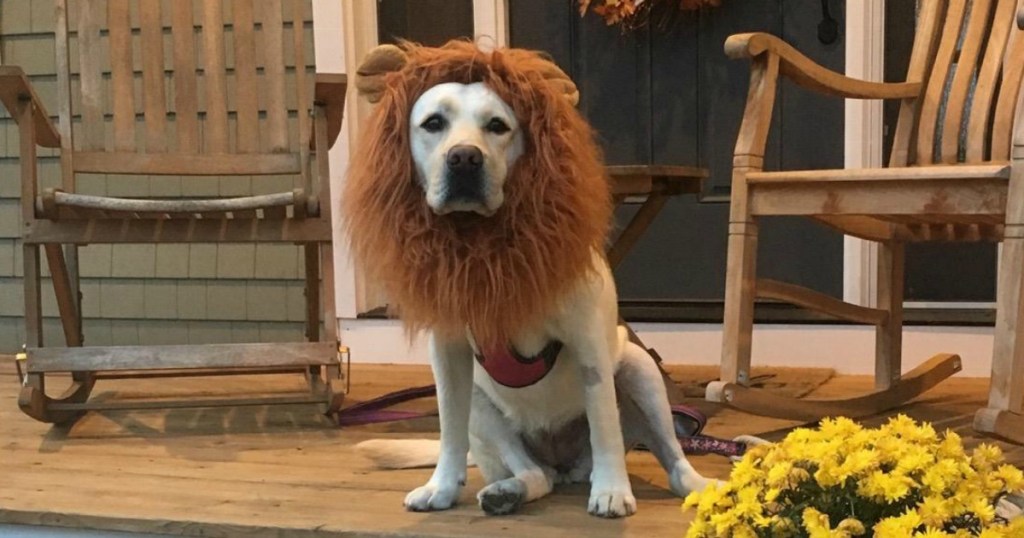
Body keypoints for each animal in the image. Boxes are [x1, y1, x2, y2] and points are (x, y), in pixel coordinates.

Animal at [344, 42, 712, 516]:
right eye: (433, 123)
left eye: (497, 126)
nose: (465, 157)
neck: (487, 247)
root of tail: (565, 463)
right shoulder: (448, 354)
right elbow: (447, 429)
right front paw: (441, 486)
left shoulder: (589, 341)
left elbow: (604, 424)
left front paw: (612, 490)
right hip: (483, 406)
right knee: (535, 475)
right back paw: (507, 492)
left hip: (639, 370)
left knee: (671, 458)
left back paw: (699, 485)